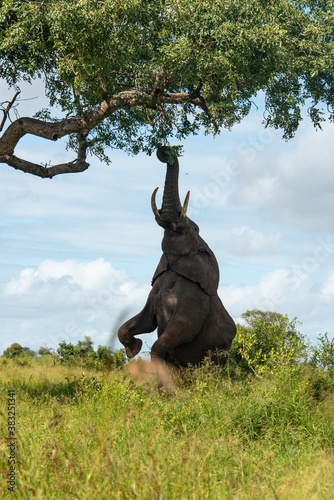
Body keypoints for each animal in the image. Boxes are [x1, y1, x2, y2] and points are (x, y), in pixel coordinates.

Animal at [118, 146, 236, 368]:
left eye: (195, 228)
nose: (164, 151)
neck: (174, 267)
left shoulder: (195, 300)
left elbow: (182, 329)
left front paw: (159, 372)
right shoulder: (154, 293)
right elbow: (141, 322)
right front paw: (133, 350)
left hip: (221, 353)